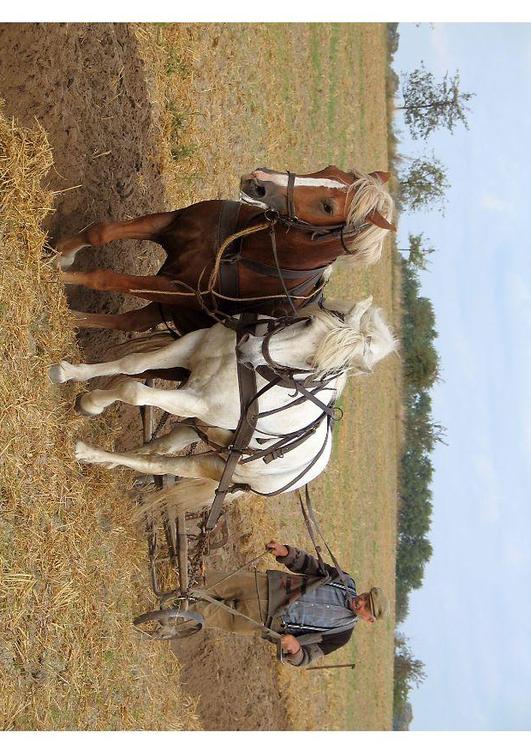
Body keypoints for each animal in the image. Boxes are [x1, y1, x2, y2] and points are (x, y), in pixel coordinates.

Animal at [50, 296, 396, 516]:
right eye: (308, 321)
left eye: (313, 364)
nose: (248, 350)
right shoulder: (191, 348)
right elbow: (131, 363)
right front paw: (68, 373)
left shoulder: (198, 402)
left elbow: (133, 390)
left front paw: (92, 403)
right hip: (198, 430)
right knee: (156, 450)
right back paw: (109, 460)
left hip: (215, 464)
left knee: (159, 464)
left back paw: (88, 453)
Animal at [56, 167, 394, 338]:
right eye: (330, 168)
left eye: (328, 207)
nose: (259, 179)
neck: (243, 250)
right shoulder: (170, 224)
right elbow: (100, 231)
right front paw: (59, 255)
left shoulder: (182, 291)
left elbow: (106, 278)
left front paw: (57, 277)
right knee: (129, 322)